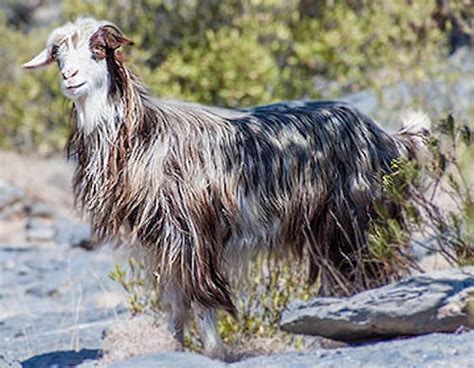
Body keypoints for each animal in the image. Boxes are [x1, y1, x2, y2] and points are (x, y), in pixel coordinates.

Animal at [23, 17, 430, 356]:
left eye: (98, 49)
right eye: (58, 55)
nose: (70, 76)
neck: (144, 136)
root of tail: (387, 138)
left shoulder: (195, 234)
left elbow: (202, 300)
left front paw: (216, 352)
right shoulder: (162, 242)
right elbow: (175, 304)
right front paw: (175, 348)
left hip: (359, 222)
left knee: (374, 270)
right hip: (328, 232)